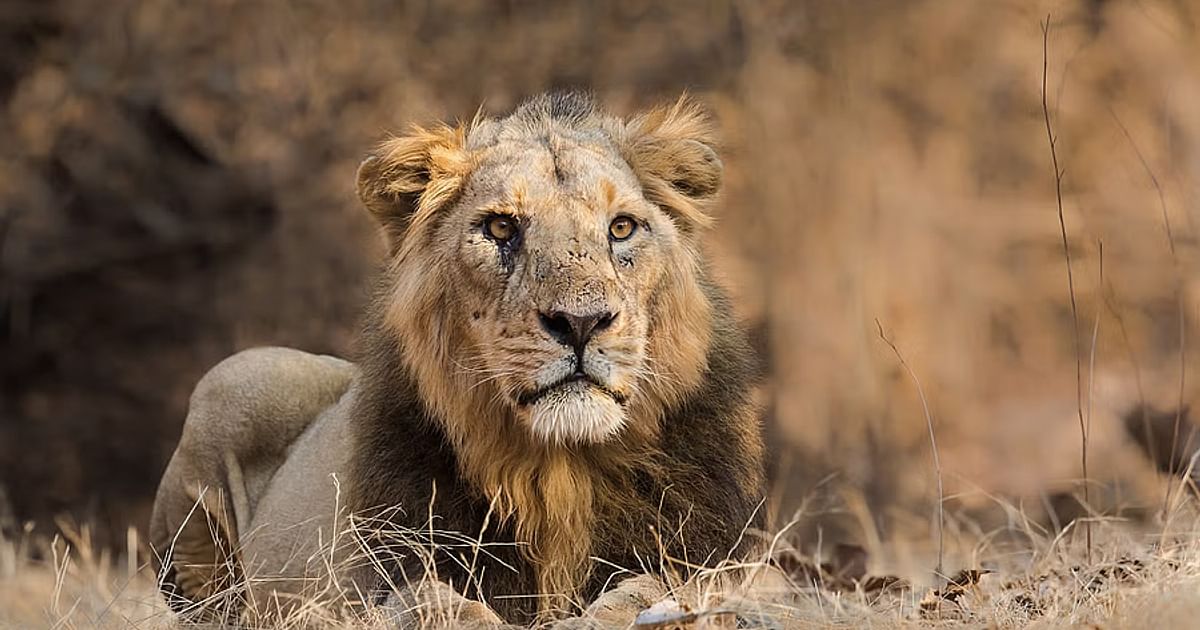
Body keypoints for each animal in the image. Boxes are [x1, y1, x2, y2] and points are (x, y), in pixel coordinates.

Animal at [149, 92, 766, 626]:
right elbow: (429, 599)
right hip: (236, 378)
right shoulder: (378, 573)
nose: (581, 323)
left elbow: (660, 587)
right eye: (500, 227)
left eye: (621, 228)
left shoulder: (709, 556)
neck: (559, 470)